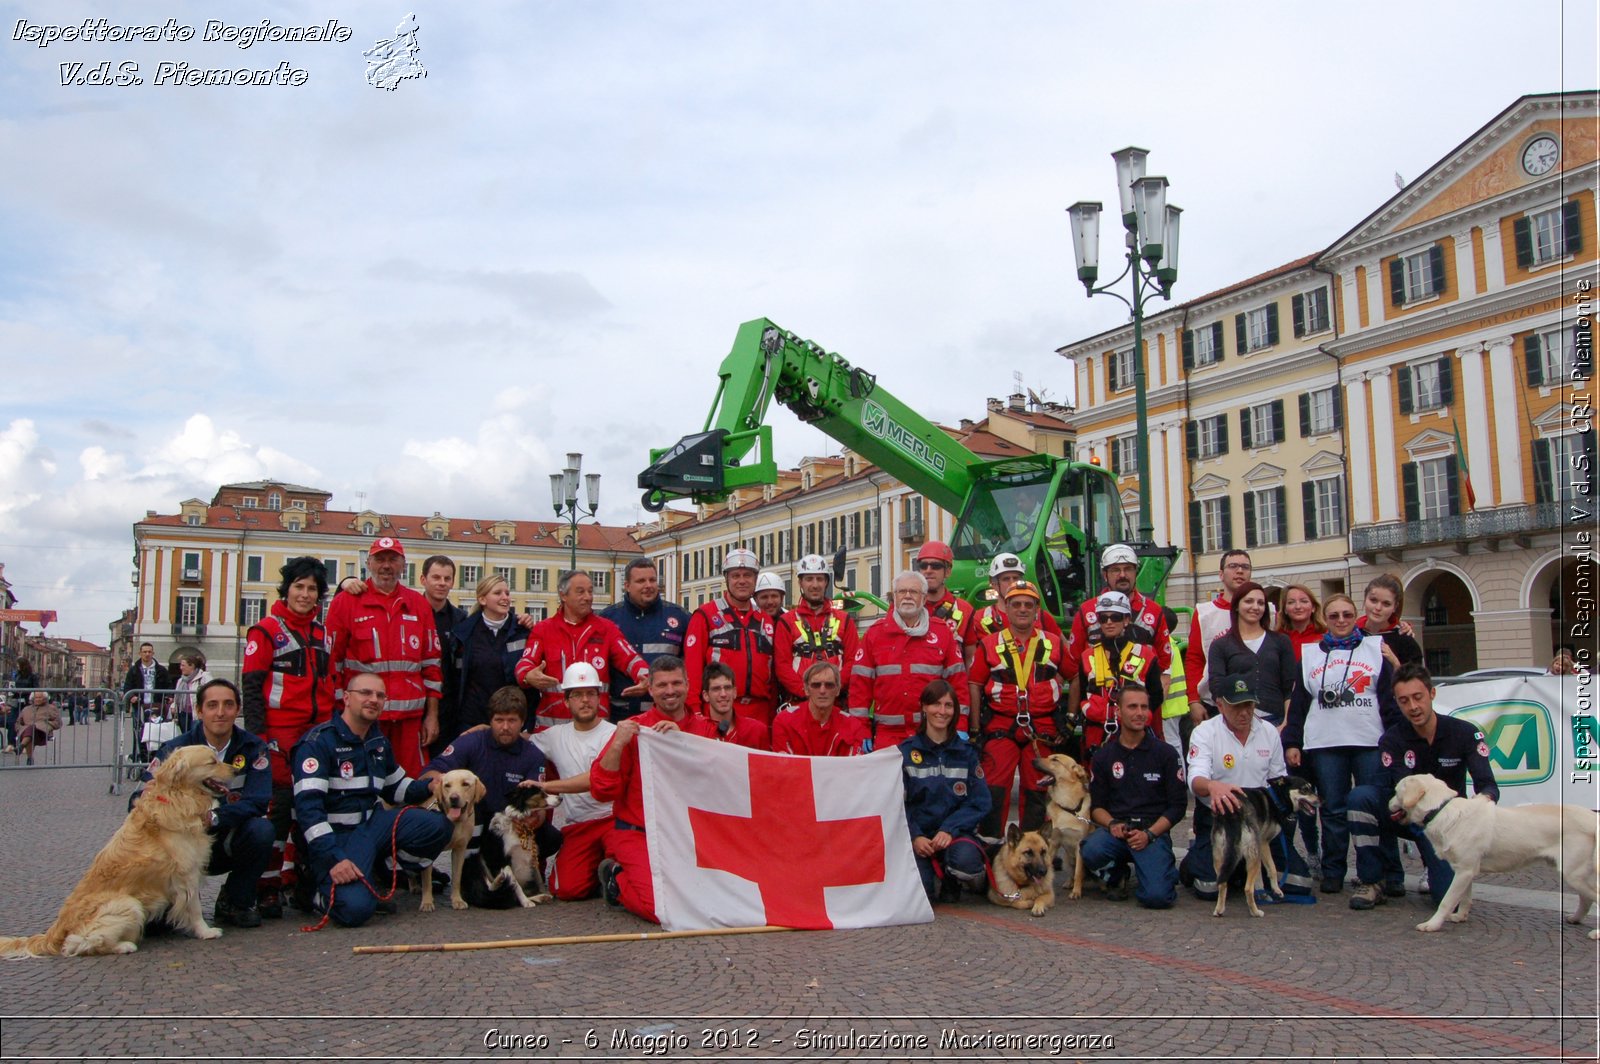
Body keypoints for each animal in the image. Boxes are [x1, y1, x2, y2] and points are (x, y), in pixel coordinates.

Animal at [0, 745, 233, 953]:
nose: (236, 769)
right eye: (212, 762)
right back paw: (125, 946)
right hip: (129, 904)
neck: (179, 796)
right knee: (80, 942)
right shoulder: (187, 874)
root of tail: (53, 931)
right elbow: (194, 908)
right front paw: (206, 931)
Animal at [419, 768, 480, 908]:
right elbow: (427, 881)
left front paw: (457, 900)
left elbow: (456, 877)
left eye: (465, 784)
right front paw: (427, 902)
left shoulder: (460, 849)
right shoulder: (428, 851)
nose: (453, 798)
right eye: (447, 785)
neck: (453, 822)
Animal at [1030, 755, 1094, 896]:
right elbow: (1048, 864)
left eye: (1055, 759)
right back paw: (1069, 883)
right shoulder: (1054, 842)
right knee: (1071, 872)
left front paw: (1076, 892)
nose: (1033, 760)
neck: (1066, 806)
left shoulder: (1079, 845)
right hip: (1067, 859)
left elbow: (1078, 872)